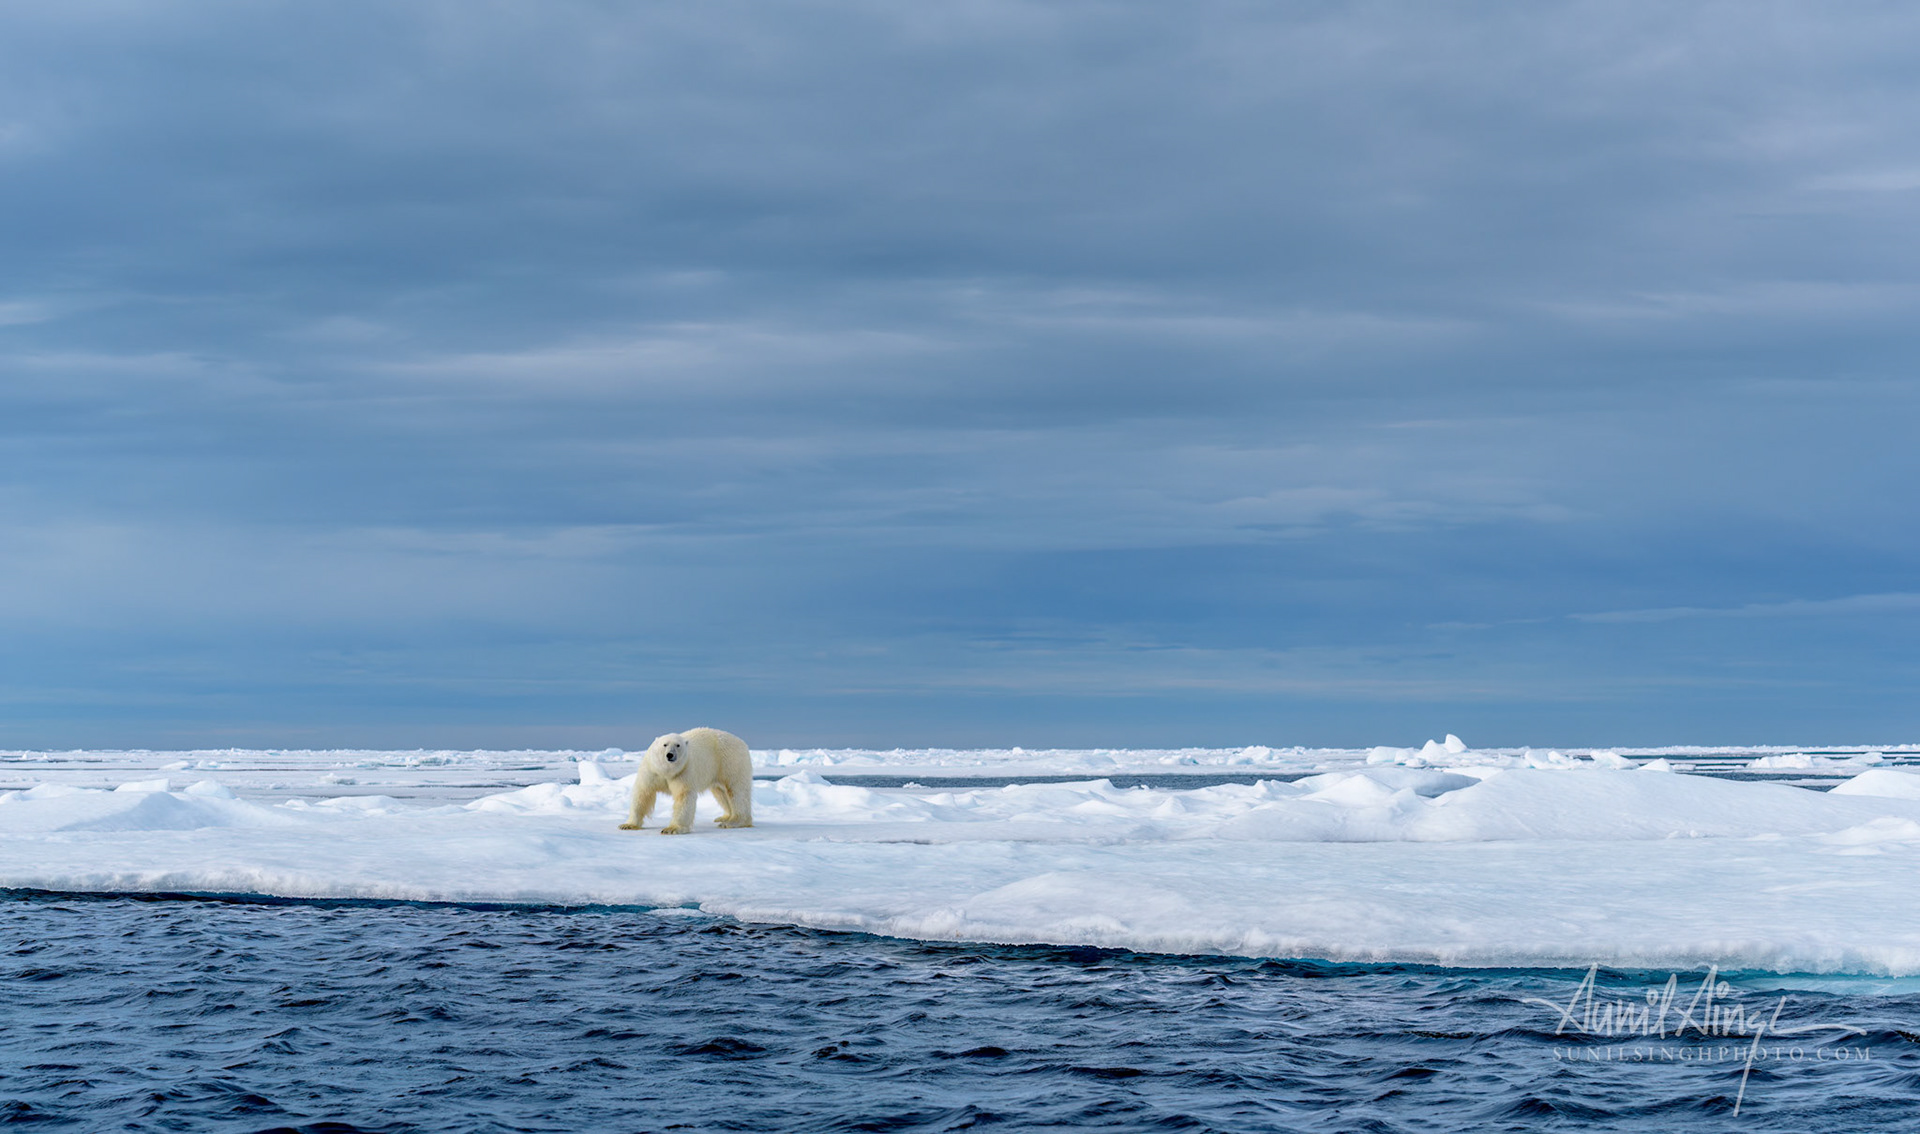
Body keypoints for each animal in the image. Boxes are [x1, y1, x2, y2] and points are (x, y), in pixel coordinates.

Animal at [618, 727, 754, 835]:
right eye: (665, 744)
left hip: (731, 762)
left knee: (737, 792)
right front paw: (627, 825)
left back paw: (734, 821)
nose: (670, 755)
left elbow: (683, 796)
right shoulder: (652, 770)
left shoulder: (684, 771)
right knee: (720, 793)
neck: (667, 771)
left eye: (678, 745)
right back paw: (724, 817)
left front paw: (671, 829)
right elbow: (643, 793)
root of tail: (742, 742)